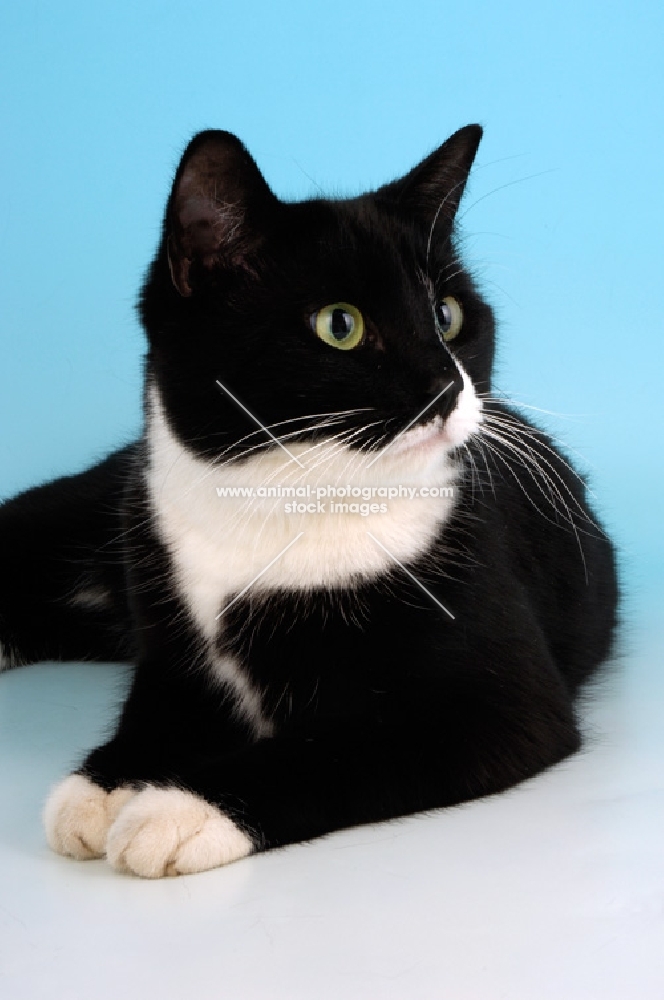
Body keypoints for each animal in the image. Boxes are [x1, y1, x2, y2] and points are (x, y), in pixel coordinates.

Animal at [0, 123, 616, 876]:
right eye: (339, 325)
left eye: (447, 315)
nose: (447, 386)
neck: (287, 505)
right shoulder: (171, 636)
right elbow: (157, 712)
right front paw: (109, 783)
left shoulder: (500, 704)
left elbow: (340, 751)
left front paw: (178, 809)